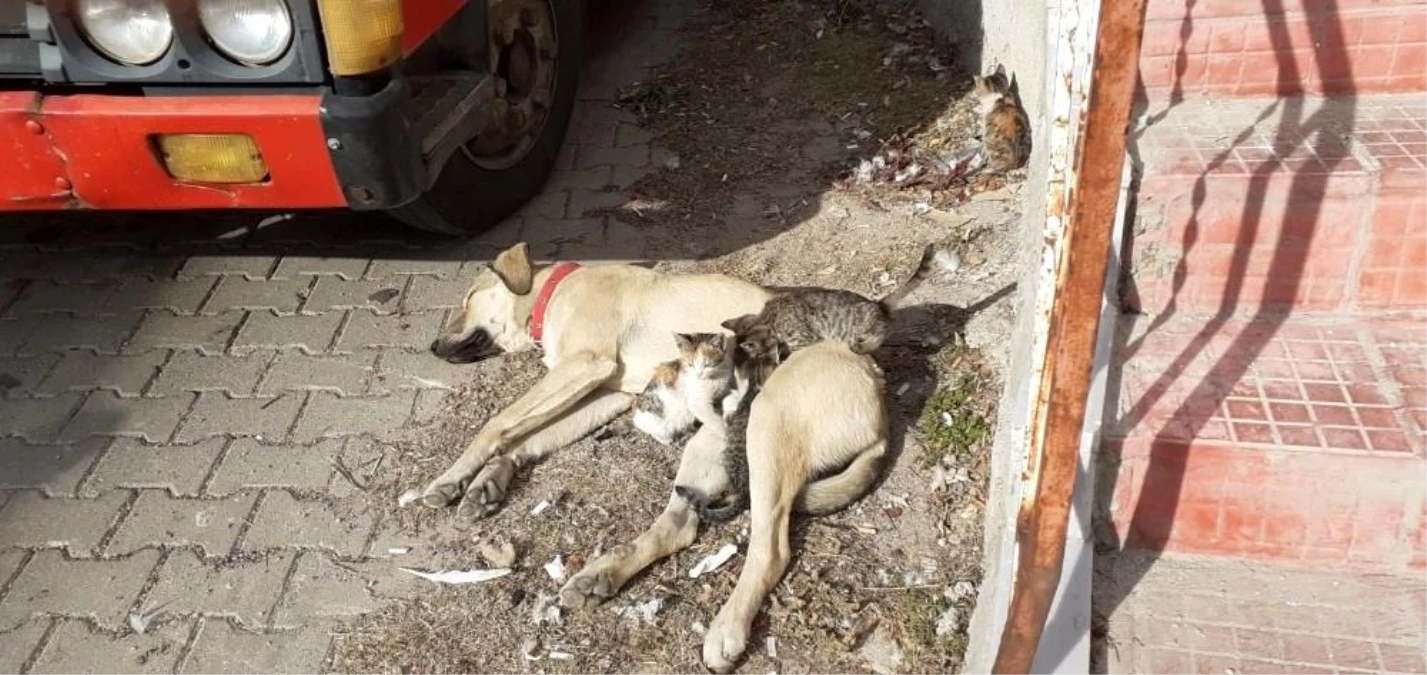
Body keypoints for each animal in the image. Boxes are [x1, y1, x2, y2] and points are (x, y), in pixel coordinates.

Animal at [416, 241, 770, 516]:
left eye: (468, 299)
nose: (432, 347)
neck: (551, 295)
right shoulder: (605, 390)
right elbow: (531, 434)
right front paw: (486, 478)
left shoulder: (584, 363)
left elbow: (497, 422)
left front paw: (450, 476)